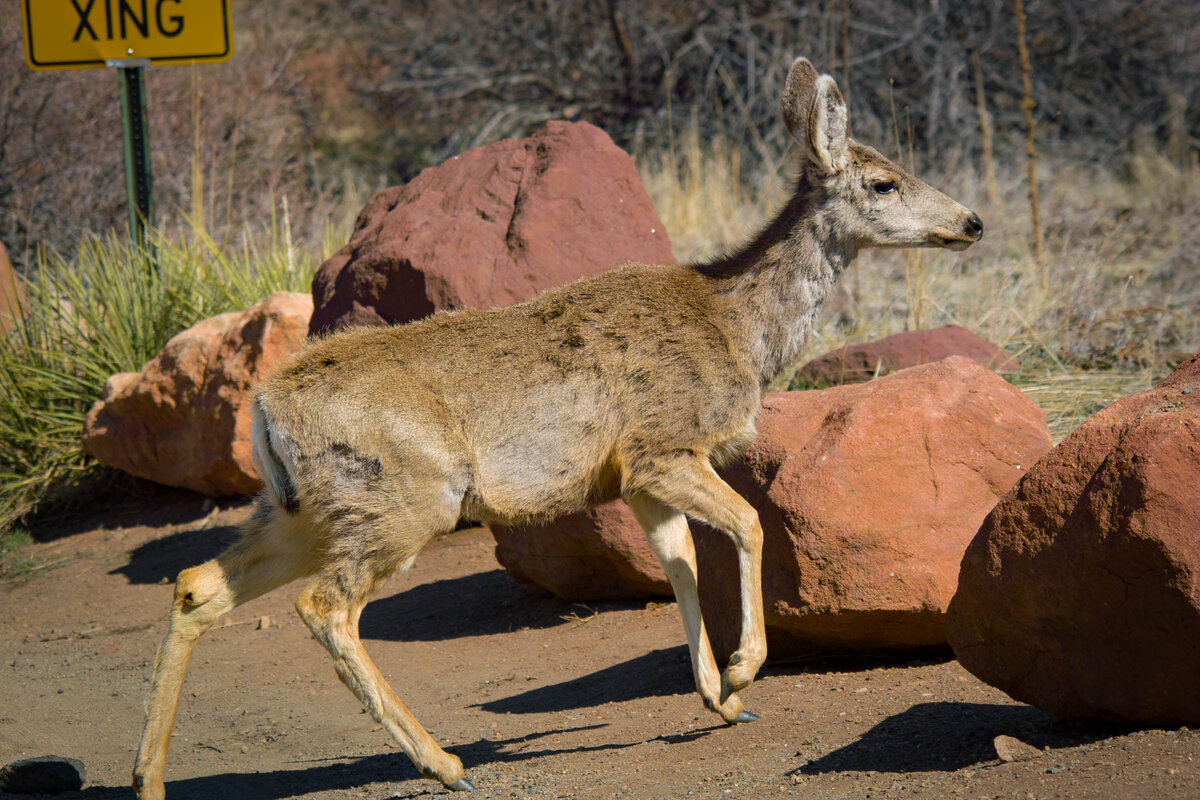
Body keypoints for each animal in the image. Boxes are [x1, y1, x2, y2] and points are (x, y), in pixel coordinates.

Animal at [131, 57, 982, 798]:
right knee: (324, 608)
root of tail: (265, 406)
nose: (972, 221)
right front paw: (745, 672)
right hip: (407, 497)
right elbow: (747, 525)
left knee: (197, 585)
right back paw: (447, 764)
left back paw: (150, 779)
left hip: (304, 508)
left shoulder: (636, 481)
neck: (734, 325)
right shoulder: (660, 447)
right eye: (883, 181)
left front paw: (720, 699)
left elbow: (680, 564)